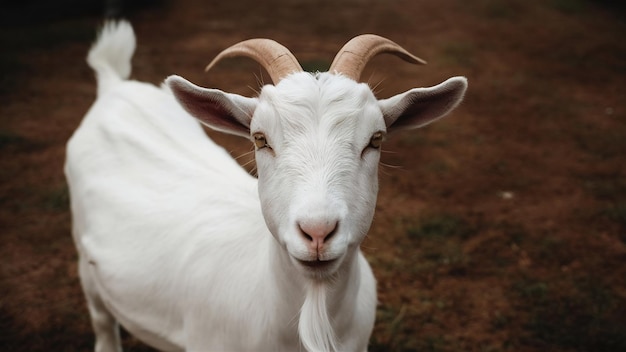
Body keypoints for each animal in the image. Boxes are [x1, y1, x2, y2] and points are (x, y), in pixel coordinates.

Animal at [66, 20, 466, 350]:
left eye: (376, 139)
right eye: (260, 139)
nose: (317, 231)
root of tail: (113, 85)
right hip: (87, 265)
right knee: (103, 322)